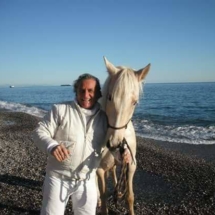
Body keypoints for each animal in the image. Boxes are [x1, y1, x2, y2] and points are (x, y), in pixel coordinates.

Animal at [96, 57, 150, 215]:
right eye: (109, 97)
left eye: (134, 102)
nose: (114, 143)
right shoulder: (99, 169)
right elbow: (103, 197)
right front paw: (102, 200)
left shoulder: (131, 164)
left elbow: (130, 197)